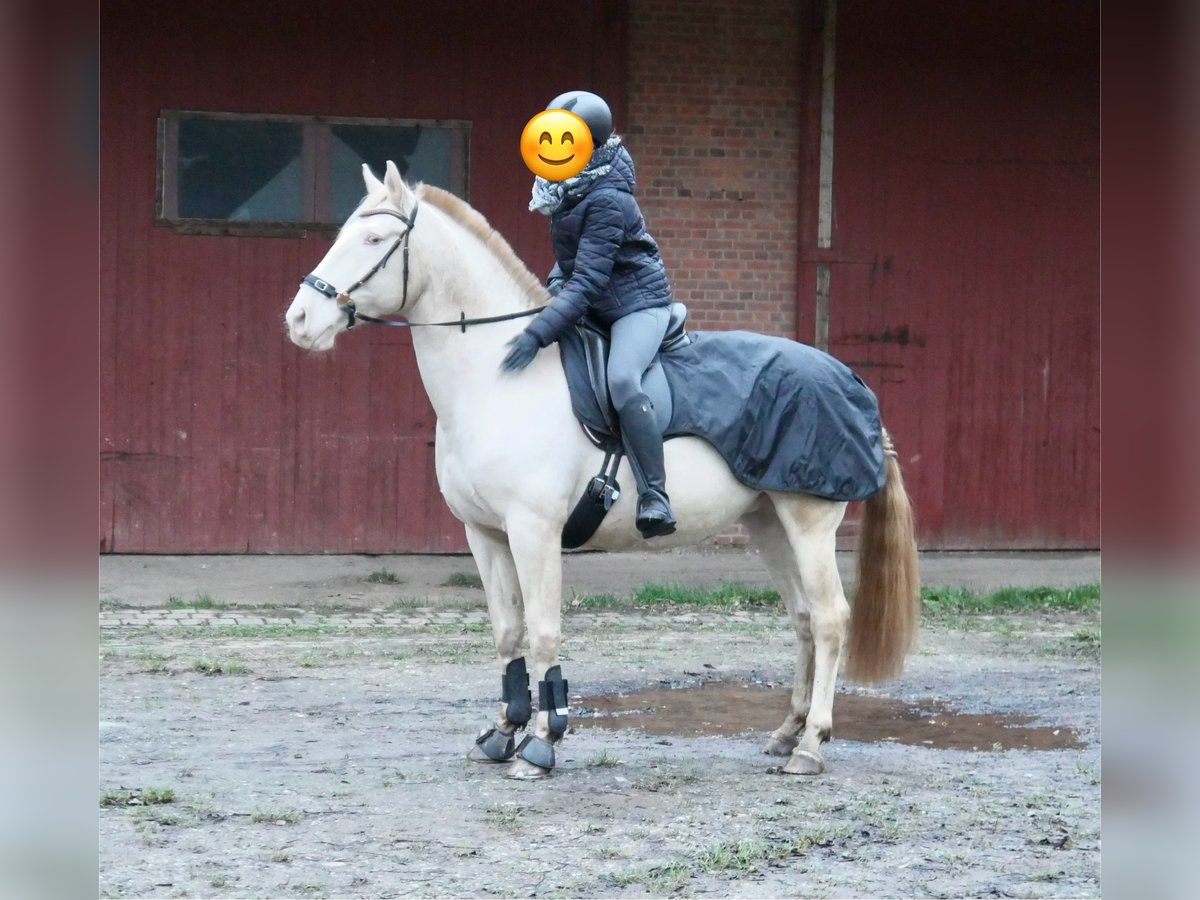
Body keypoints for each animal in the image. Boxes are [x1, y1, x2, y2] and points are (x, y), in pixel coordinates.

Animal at [283, 162, 916, 782]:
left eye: (373, 241)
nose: (299, 320)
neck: (497, 377)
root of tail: (850, 379)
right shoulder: (484, 534)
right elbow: (507, 632)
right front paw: (503, 733)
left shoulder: (533, 531)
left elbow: (543, 632)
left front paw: (541, 744)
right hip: (768, 522)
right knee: (803, 618)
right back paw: (786, 733)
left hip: (808, 522)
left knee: (830, 618)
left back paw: (810, 746)